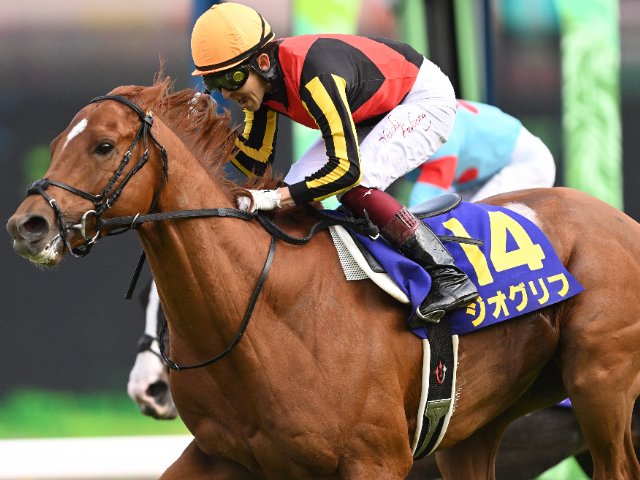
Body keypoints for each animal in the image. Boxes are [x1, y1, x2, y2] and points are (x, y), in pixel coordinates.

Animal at [7, 77, 640, 479]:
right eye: (58, 143)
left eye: (103, 145)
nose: (27, 226)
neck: (266, 313)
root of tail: (620, 218)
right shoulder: (222, 455)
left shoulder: (377, 459)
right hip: (476, 429)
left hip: (599, 386)